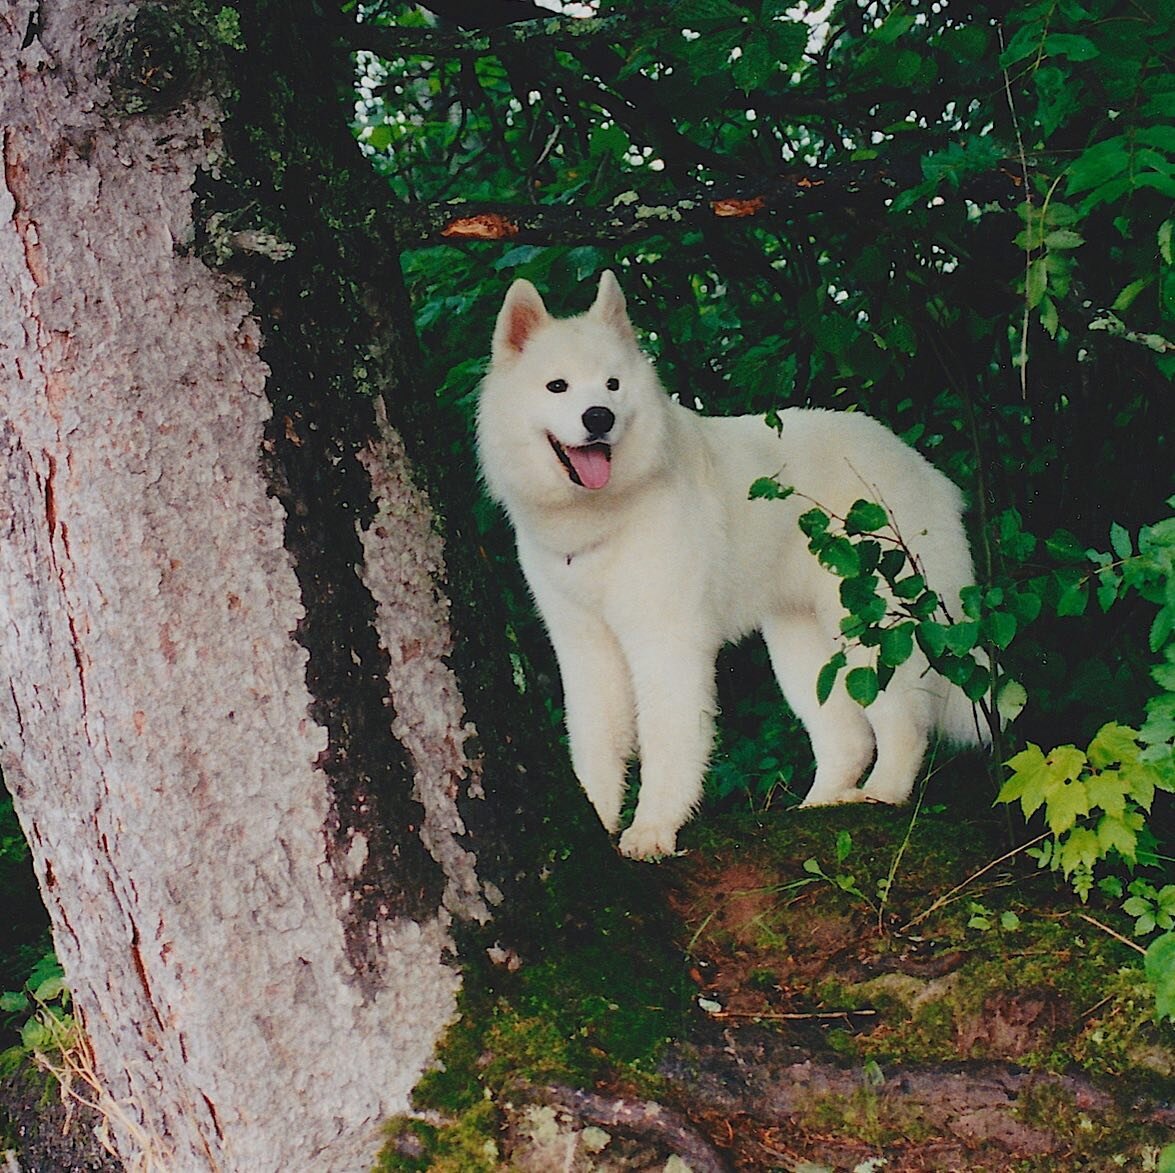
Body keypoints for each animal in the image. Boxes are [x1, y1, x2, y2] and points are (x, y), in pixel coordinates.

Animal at [477, 275, 982, 865]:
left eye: (612, 385)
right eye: (557, 386)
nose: (599, 417)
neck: (606, 515)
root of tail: (920, 465)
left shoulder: (664, 641)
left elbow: (668, 740)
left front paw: (652, 829)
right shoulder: (585, 647)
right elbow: (596, 741)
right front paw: (597, 819)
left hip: (869, 629)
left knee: (905, 722)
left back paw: (883, 796)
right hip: (800, 646)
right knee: (847, 738)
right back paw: (819, 806)